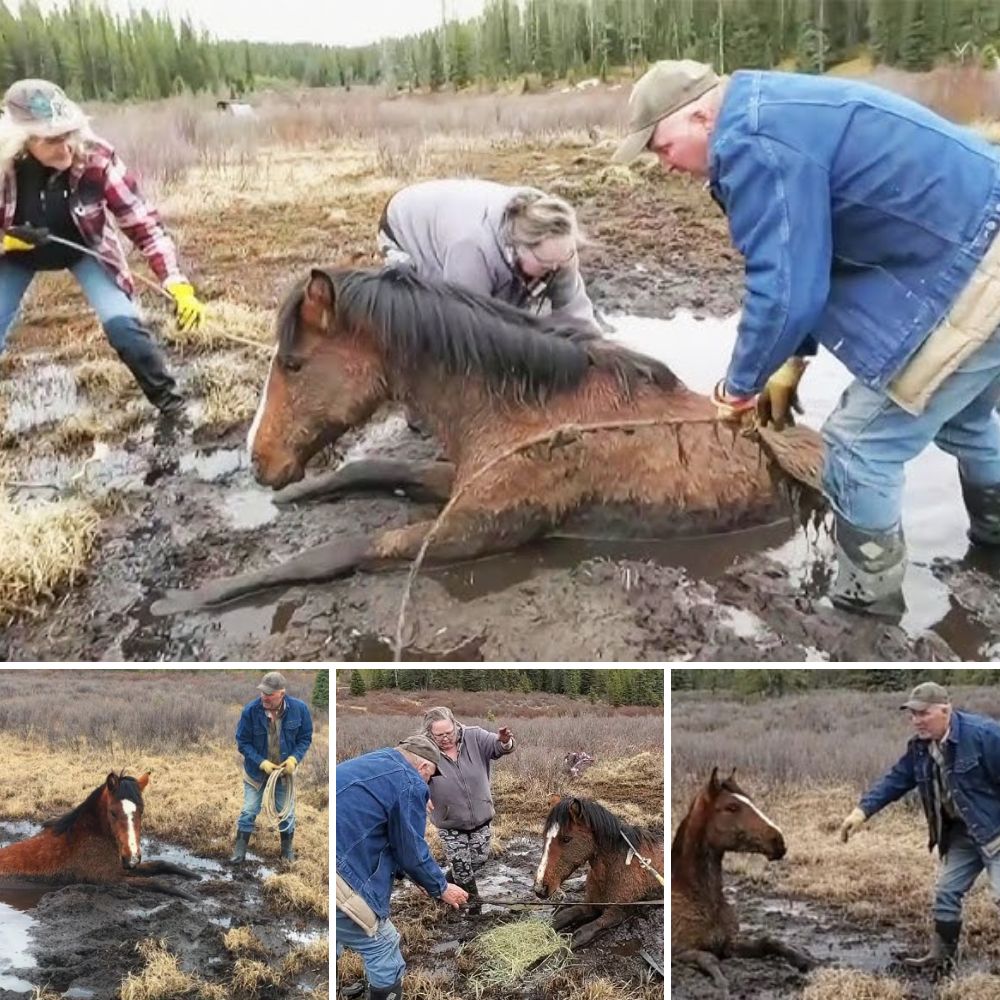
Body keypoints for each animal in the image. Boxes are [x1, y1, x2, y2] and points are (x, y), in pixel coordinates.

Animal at [0, 768, 199, 904]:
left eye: (141, 811)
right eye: (113, 812)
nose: (132, 858)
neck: (89, 838)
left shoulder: (121, 868)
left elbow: (162, 864)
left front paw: (196, 877)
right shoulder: (109, 878)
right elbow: (157, 883)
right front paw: (191, 897)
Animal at [148, 266, 820, 608]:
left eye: (292, 364)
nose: (261, 462)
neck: (533, 413)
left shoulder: (465, 534)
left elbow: (333, 552)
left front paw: (194, 598)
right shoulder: (457, 483)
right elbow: (370, 471)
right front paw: (294, 497)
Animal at [532, 792, 664, 948]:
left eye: (566, 839)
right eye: (544, 836)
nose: (539, 888)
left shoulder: (616, 912)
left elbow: (580, 934)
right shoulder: (590, 904)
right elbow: (561, 917)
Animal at [672, 768, 812, 996]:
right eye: (731, 807)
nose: (779, 841)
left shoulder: (729, 944)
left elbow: (768, 941)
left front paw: (803, 959)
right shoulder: (680, 951)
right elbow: (708, 958)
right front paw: (722, 985)